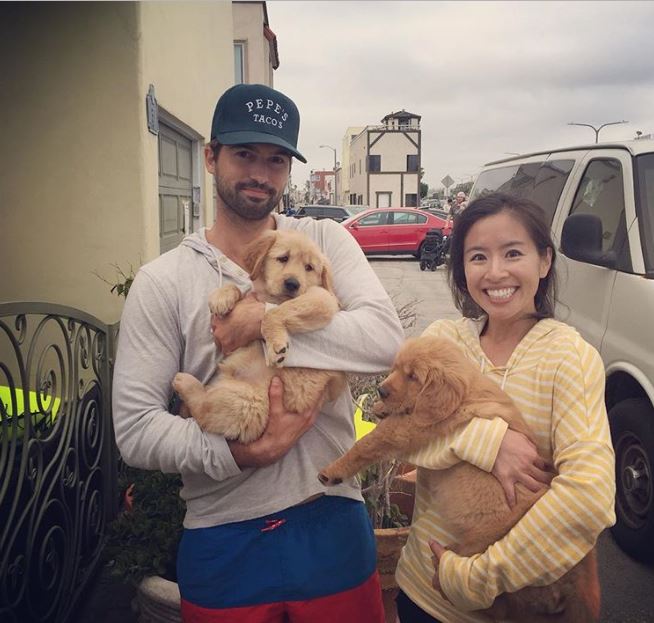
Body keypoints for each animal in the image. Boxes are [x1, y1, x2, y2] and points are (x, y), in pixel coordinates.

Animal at [173, 232, 348, 446]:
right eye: (283, 258)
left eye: (309, 267)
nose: (292, 284)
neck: (273, 297)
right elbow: (239, 289)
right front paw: (221, 297)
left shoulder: (322, 299)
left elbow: (272, 313)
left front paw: (276, 346)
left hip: (249, 402)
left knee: (203, 409)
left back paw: (184, 382)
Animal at [320, 336, 604, 623]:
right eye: (396, 368)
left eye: (413, 376)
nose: (381, 390)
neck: (464, 395)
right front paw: (381, 408)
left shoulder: (411, 428)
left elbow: (368, 443)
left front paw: (332, 471)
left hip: (485, 547)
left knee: (490, 602)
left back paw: (442, 573)